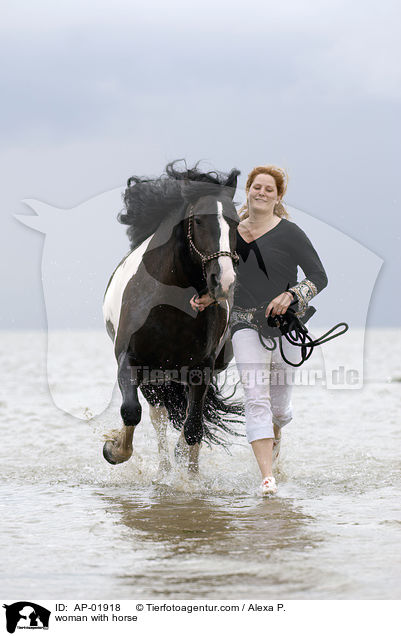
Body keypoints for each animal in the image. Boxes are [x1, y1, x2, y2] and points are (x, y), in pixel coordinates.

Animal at [101, 161, 242, 474]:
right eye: (198, 221)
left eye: (237, 223)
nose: (224, 281)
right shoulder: (129, 359)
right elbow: (131, 412)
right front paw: (113, 449)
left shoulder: (201, 369)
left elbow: (193, 429)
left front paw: (189, 477)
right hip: (155, 378)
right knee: (159, 417)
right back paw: (164, 469)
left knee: (187, 421)